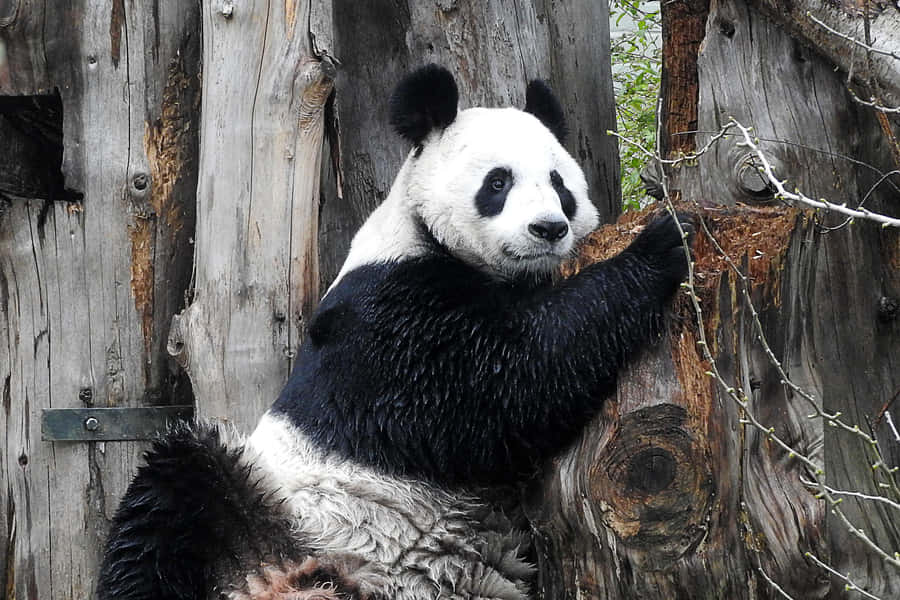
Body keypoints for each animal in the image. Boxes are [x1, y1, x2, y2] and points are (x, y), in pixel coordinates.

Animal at [98, 64, 693, 600]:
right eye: (497, 182)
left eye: (558, 184)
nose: (548, 228)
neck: (428, 236)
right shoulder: (385, 313)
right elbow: (498, 382)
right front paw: (662, 243)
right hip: (261, 498)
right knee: (166, 503)